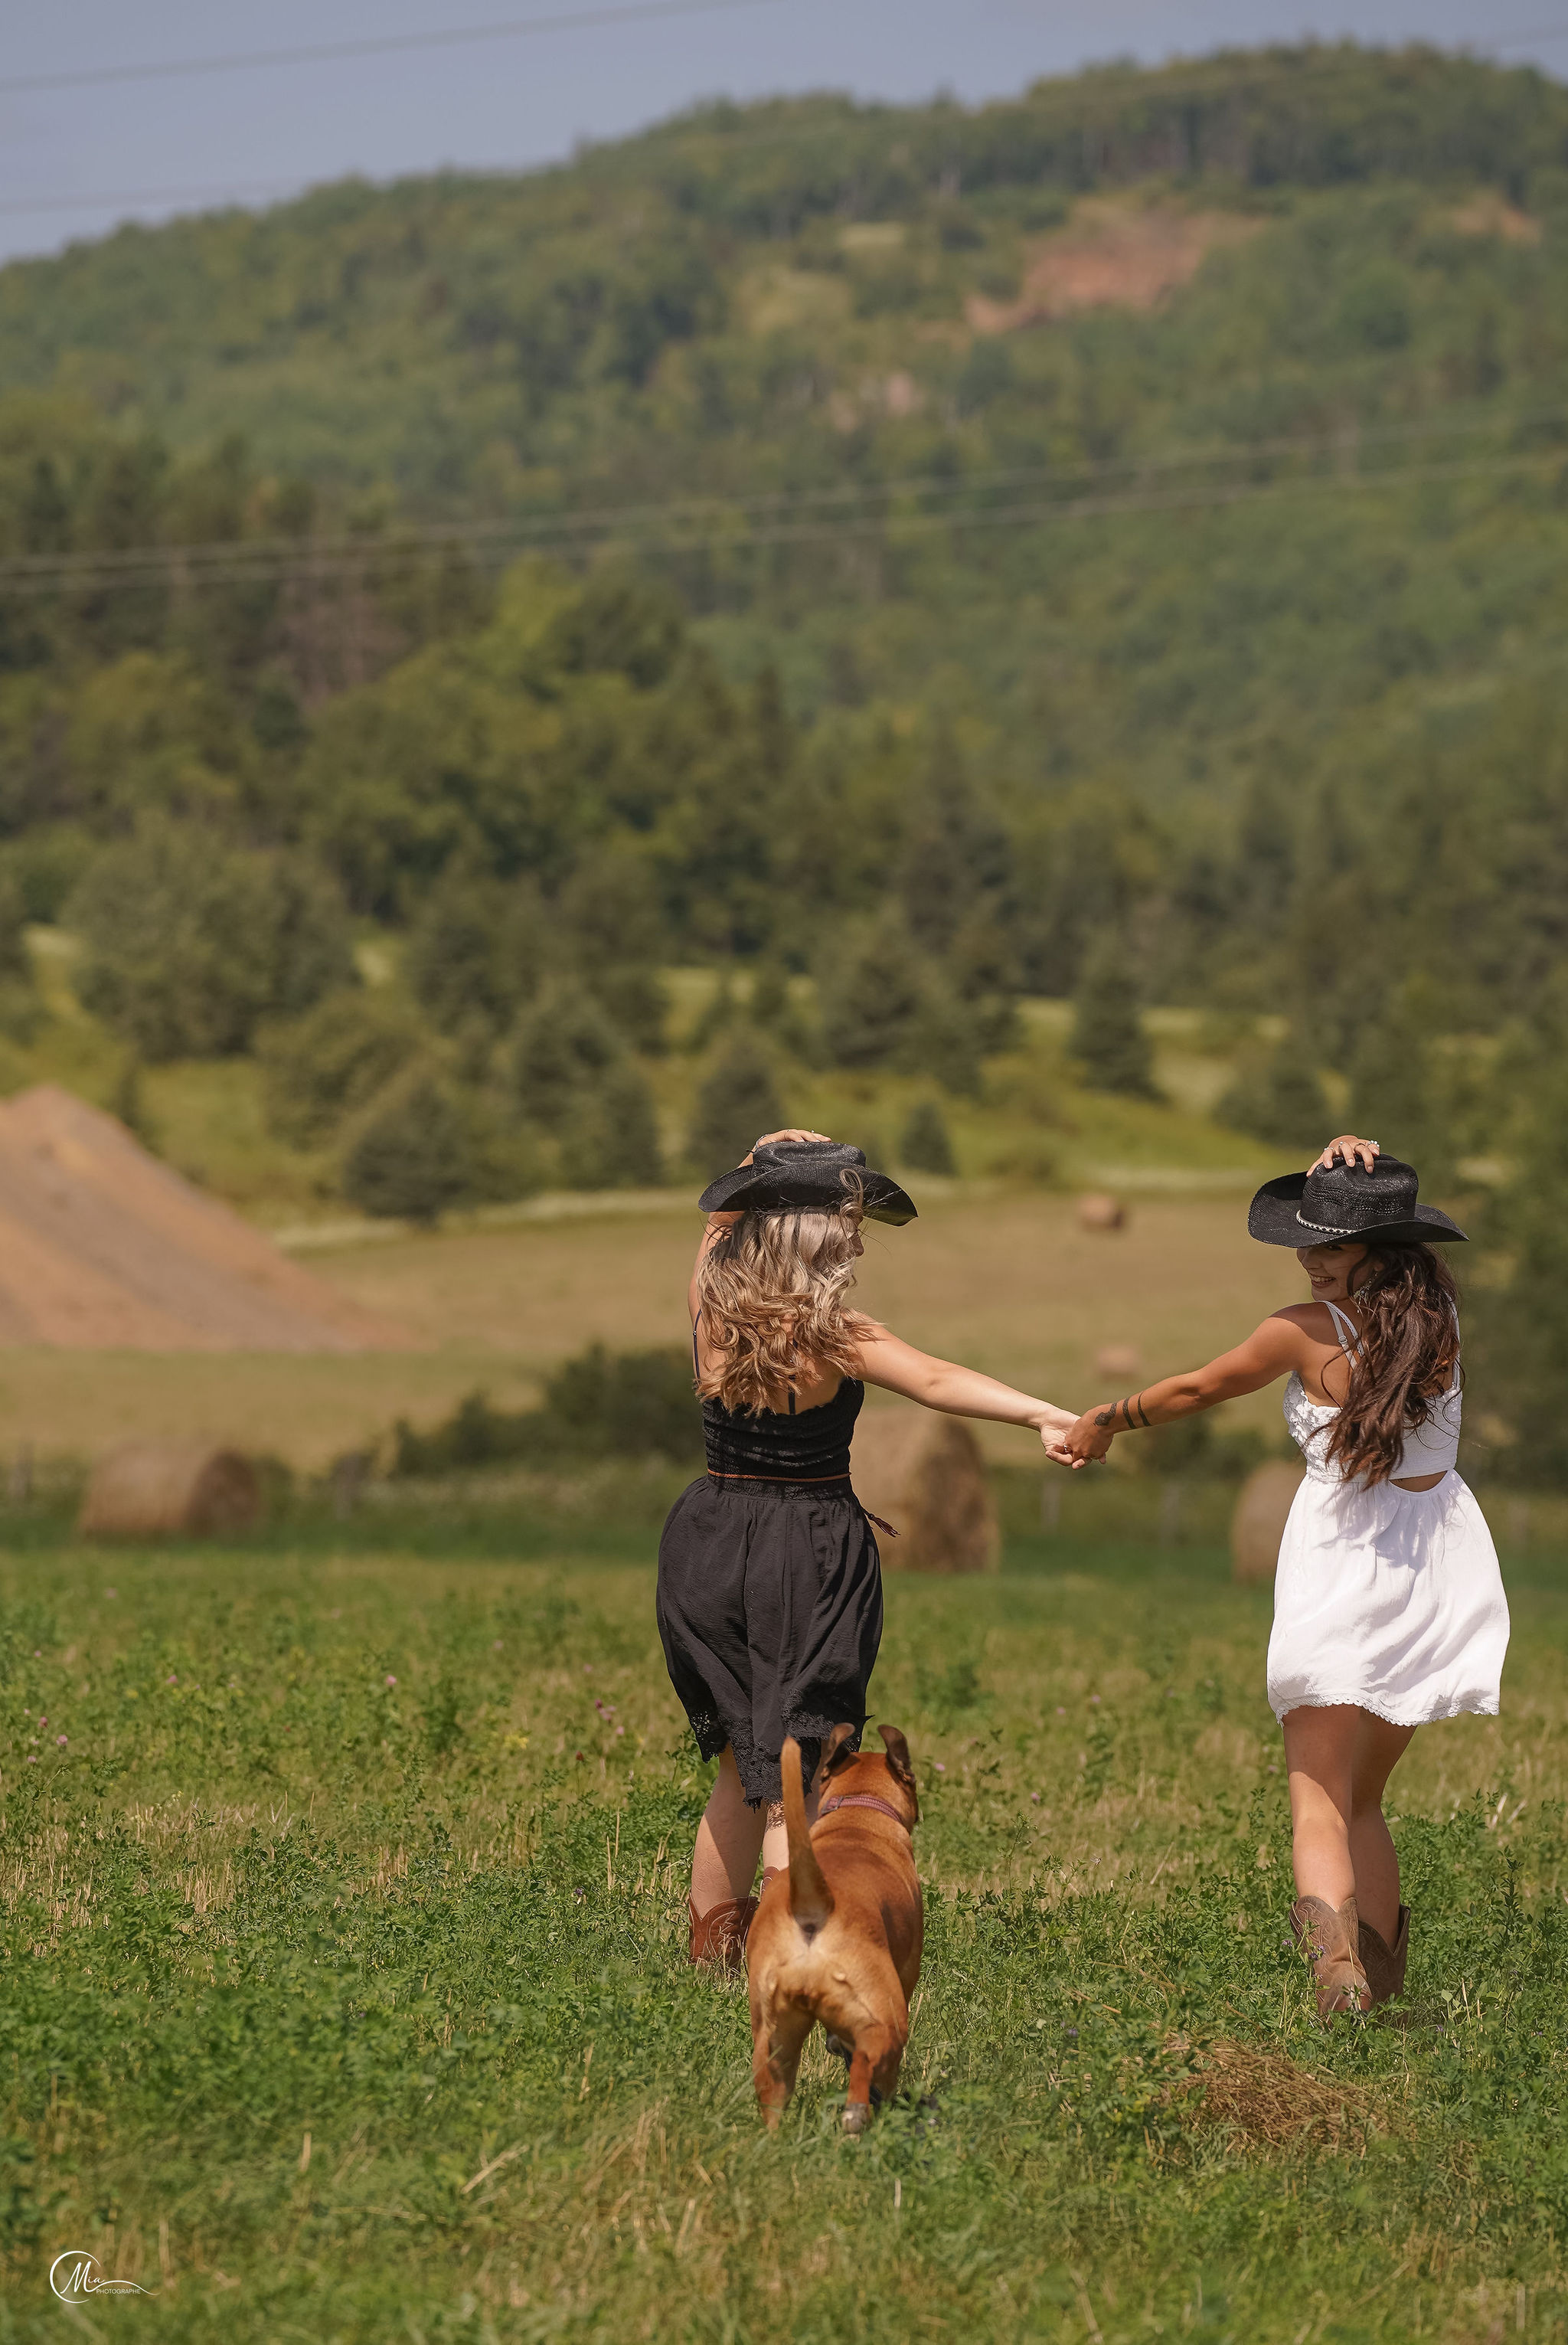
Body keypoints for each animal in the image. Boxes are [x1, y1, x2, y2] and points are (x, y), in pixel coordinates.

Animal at [746, 1721, 923, 2134]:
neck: (859, 1807)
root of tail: (815, 1904)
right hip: (886, 2019)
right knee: (868, 2067)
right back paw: (859, 2113)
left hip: (774, 2042)